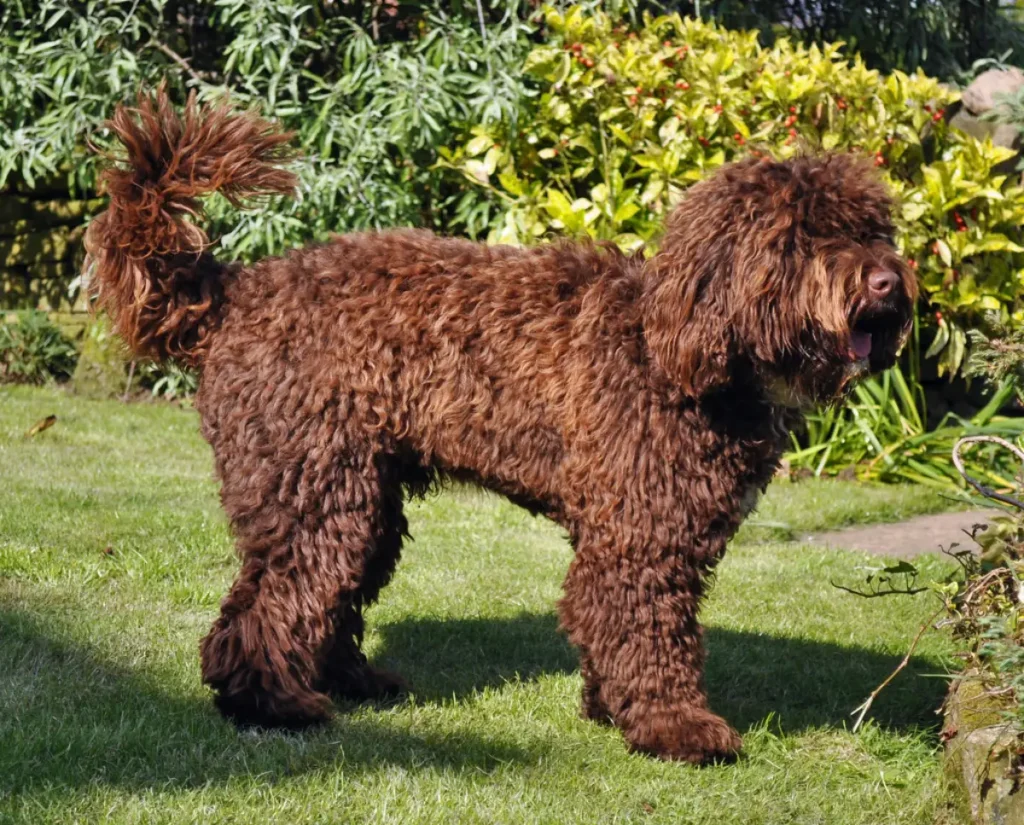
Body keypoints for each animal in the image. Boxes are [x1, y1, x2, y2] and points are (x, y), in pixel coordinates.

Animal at [88, 87, 917, 765]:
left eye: (874, 230)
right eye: (804, 236)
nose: (888, 283)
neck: (675, 345)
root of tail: (237, 289)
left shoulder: (637, 529)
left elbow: (611, 620)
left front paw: (609, 707)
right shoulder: (644, 531)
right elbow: (646, 625)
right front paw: (675, 725)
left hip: (363, 494)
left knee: (325, 594)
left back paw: (352, 680)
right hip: (313, 487)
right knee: (271, 599)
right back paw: (273, 702)